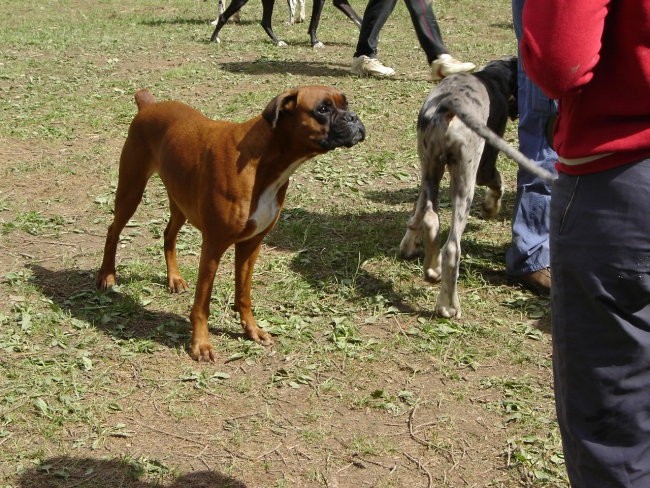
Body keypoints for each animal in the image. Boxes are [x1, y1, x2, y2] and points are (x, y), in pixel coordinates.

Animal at [96, 86, 364, 362]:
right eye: (322, 109)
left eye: (346, 103)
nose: (354, 117)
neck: (264, 162)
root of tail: (149, 105)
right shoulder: (213, 247)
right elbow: (202, 303)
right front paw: (201, 344)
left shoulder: (251, 244)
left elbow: (243, 294)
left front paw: (252, 330)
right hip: (131, 191)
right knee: (113, 231)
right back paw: (107, 275)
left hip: (181, 202)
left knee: (168, 235)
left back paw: (174, 279)